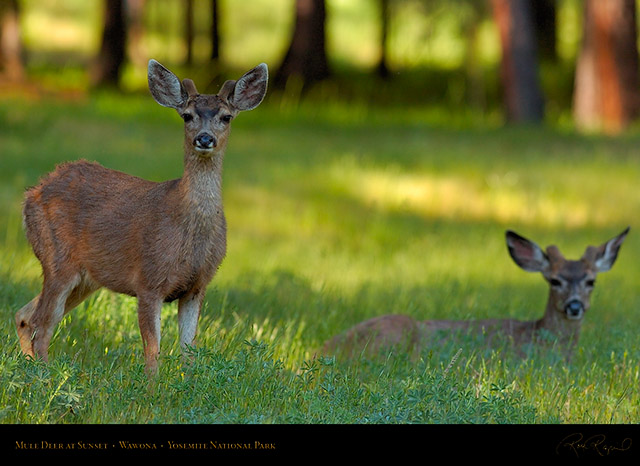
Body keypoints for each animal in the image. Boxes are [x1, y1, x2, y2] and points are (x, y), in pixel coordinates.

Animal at [14, 61, 270, 374]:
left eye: (226, 117)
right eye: (187, 115)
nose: (204, 138)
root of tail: (32, 193)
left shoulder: (197, 286)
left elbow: (189, 350)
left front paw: (187, 381)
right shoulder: (149, 279)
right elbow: (152, 350)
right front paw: (153, 385)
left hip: (87, 278)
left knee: (25, 315)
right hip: (57, 258)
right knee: (42, 323)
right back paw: (46, 375)